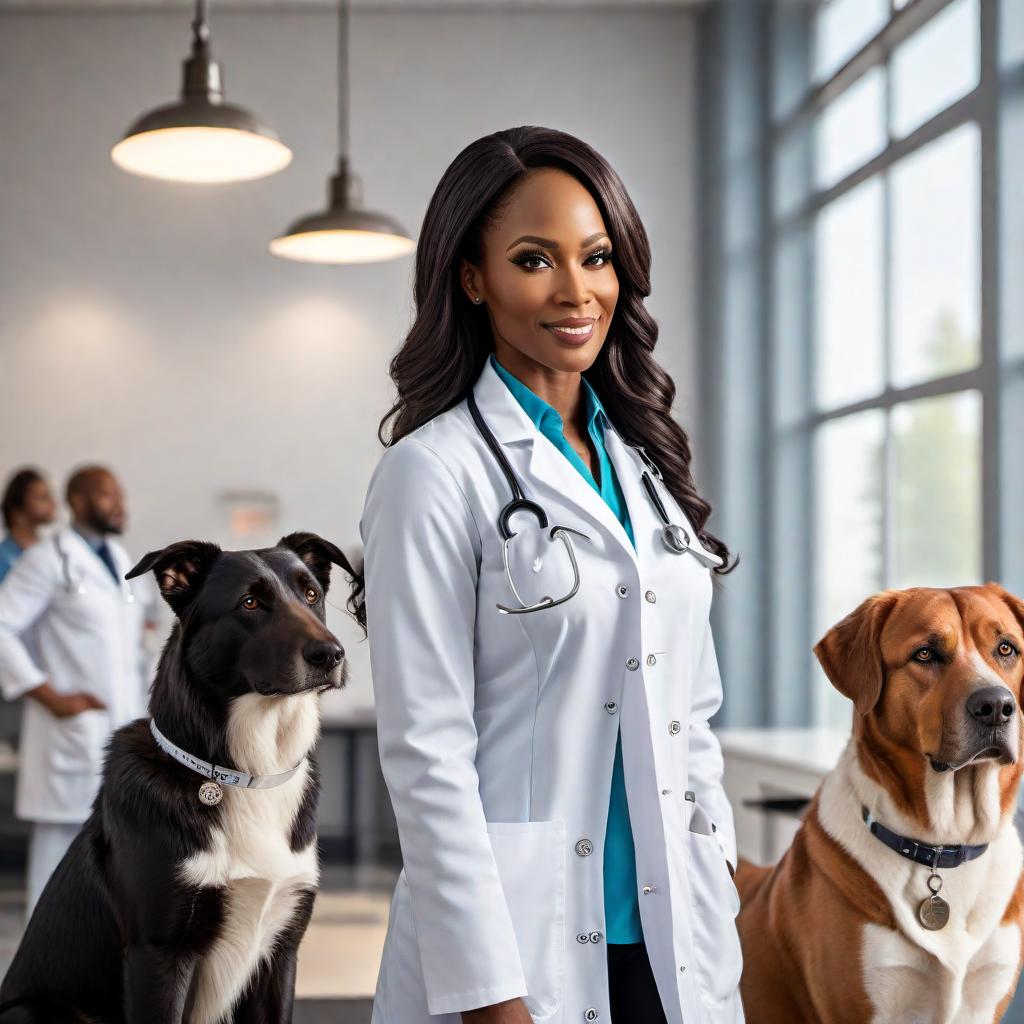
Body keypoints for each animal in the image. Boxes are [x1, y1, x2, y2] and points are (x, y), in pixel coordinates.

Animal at [0, 532, 364, 1019]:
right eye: (250, 602)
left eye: (311, 595)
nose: (330, 654)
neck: (246, 773)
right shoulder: (159, 954)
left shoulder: (282, 952)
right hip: (37, 1009)